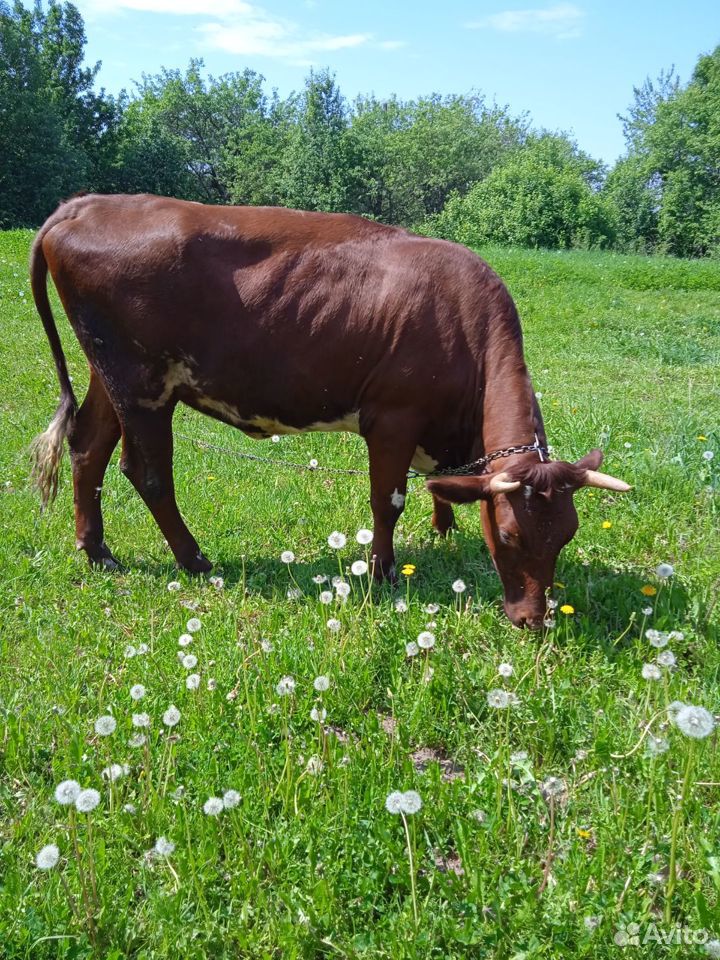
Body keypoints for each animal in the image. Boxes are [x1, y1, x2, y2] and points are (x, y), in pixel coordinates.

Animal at [31, 195, 628, 632]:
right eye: (508, 536)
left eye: (567, 535)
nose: (533, 620)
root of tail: (87, 203)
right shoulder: (393, 418)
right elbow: (389, 501)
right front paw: (384, 573)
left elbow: (441, 485)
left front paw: (443, 527)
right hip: (143, 383)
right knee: (148, 472)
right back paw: (194, 560)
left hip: (109, 373)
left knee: (88, 447)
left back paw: (97, 551)